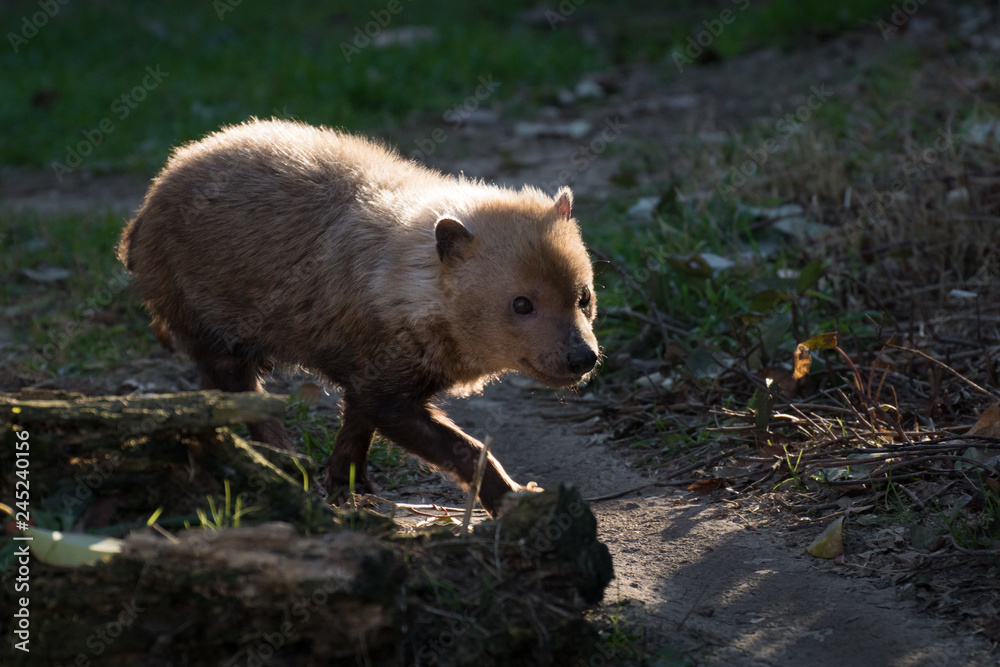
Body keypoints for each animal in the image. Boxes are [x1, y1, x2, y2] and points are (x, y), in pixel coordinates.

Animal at [118, 118, 599, 516]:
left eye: (584, 295)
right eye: (522, 304)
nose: (584, 358)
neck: (401, 278)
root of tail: (140, 217)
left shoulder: (368, 377)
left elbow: (355, 432)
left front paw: (349, 487)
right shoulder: (386, 392)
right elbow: (465, 447)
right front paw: (514, 498)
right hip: (216, 336)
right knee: (237, 393)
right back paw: (284, 459)